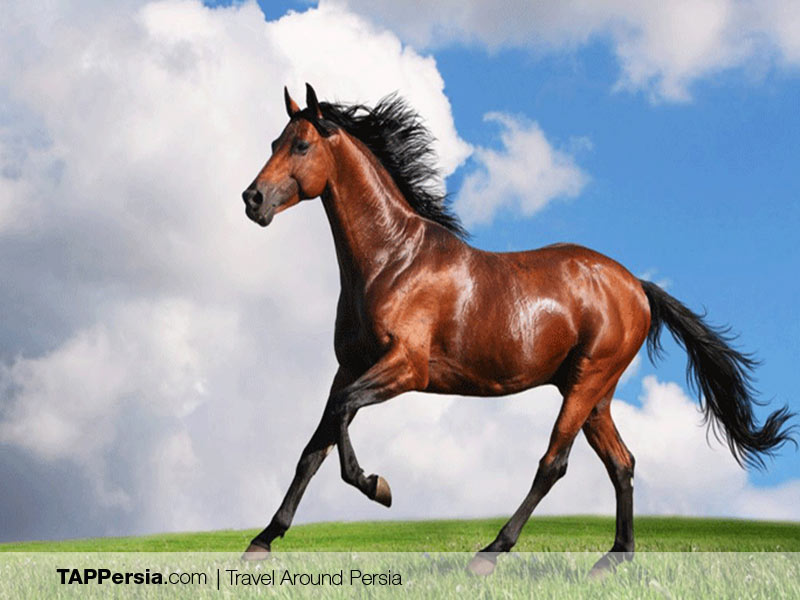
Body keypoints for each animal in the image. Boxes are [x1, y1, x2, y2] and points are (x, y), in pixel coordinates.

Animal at [239, 83, 795, 575]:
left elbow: (342, 416)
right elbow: (315, 446)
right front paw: (262, 542)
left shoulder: (406, 368)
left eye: (301, 144)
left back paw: (491, 552)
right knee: (622, 462)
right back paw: (613, 561)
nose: (252, 199)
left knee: (554, 462)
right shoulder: (349, 366)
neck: (392, 260)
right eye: (273, 143)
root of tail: (635, 285)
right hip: (594, 394)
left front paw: (378, 486)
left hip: (587, 382)